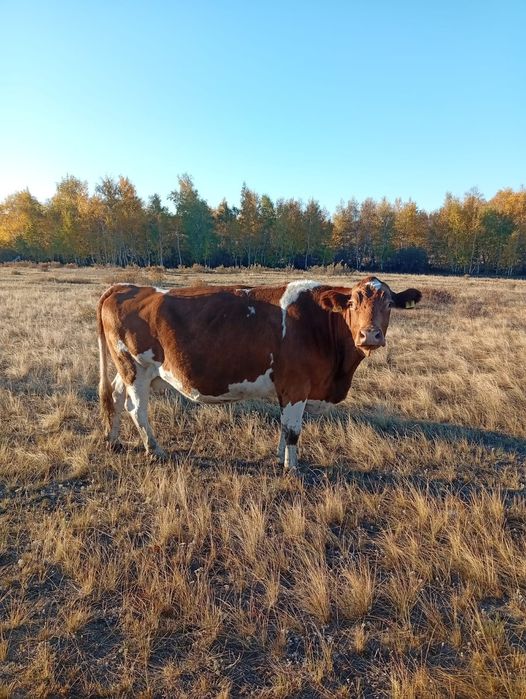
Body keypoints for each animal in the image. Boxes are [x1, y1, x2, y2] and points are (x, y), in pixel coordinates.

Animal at [97, 276, 421, 470]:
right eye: (352, 302)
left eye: (389, 303)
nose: (370, 335)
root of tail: (124, 286)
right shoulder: (297, 386)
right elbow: (293, 431)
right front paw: (292, 468)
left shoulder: (287, 389)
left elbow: (283, 427)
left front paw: (280, 458)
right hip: (136, 368)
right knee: (136, 409)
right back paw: (154, 449)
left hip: (126, 369)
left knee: (115, 396)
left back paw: (113, 440)